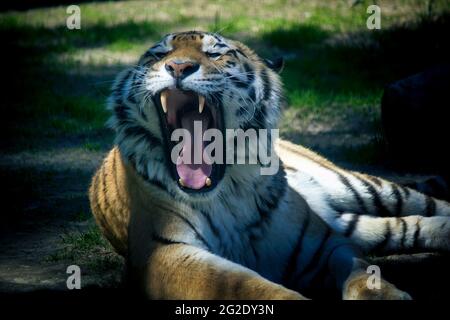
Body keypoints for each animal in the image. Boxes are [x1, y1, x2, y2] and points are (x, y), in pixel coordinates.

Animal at [88, 30, 450, 300]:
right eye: (158, 55)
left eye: (215, 54)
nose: (177, 66)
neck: (228, 190)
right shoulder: (167, 253)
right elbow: (246, 284)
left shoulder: (323, 244)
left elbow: (363, 273)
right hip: (348, 218)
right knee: (401, 226)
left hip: (358, 188)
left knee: (422, 206)